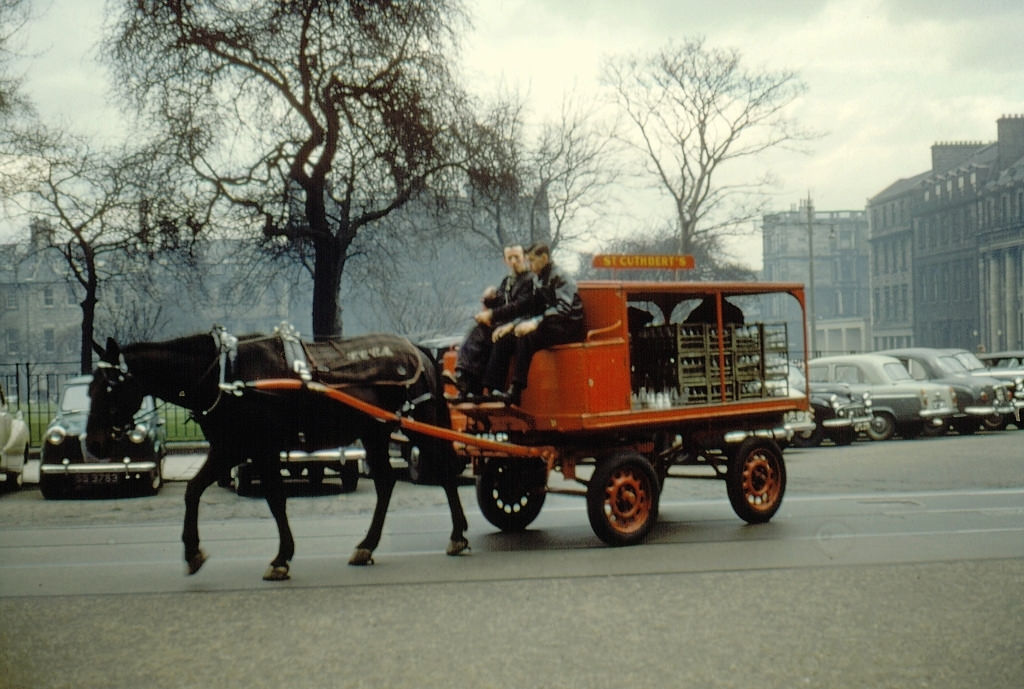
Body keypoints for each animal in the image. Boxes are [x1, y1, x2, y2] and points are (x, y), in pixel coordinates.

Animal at [86, 327, 468, 581]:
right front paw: (193, 550)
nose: (93, 443)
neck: (225, 375)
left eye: (109, 387)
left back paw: (457, 535)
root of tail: (418, 349)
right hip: (375, 432)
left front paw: (282, 557)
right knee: (386, 483)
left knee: (444, 471)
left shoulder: (258, 448)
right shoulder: (230, 448)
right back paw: (368, 545)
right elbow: (194, 490)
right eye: (90, 388)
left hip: (419, 422)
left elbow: (275, 499)